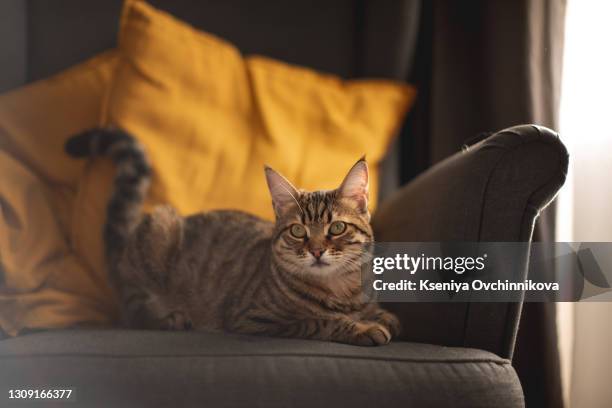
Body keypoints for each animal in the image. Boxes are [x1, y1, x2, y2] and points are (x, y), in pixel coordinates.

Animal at [67, 126, 400, 344]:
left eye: (337, 227)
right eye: (297, 231)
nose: (317, 250)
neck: (340, 290)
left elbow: (378, 313)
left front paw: (380, 317)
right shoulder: (255, 318)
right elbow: (318, 321)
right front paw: (362, 328)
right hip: (157, 233)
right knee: (135, 311)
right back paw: (169, 319)